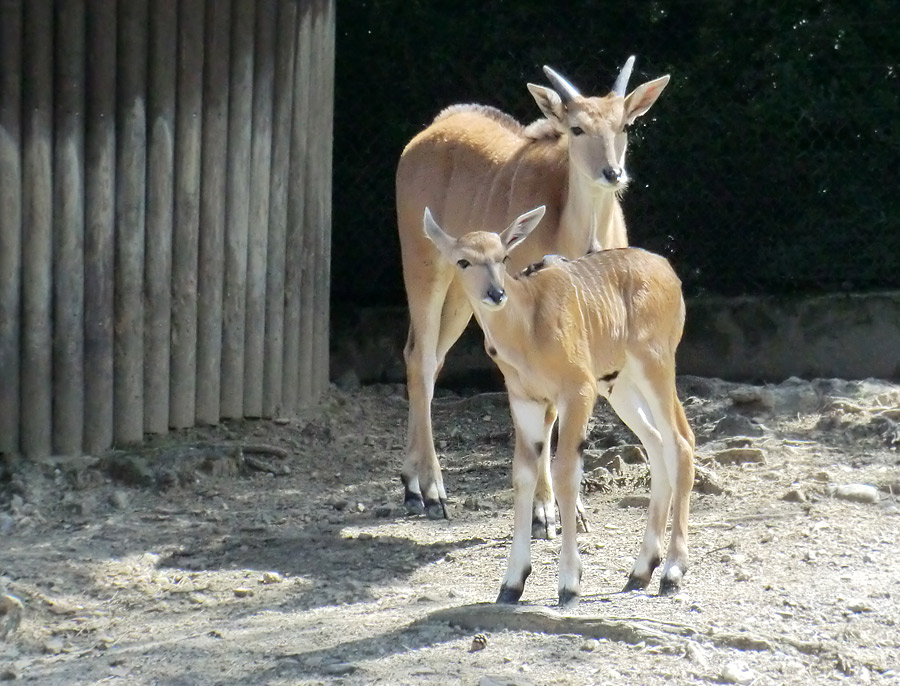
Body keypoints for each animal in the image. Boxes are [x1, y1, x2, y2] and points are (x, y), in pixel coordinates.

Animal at [400, 57, 668, 528]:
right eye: (576, 128)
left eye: (624, 126)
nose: (613, 173)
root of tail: (431, 130)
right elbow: (543, 415)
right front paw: (545, 509)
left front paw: (571, 507)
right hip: (424, 266)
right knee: (423, 359)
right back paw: (430, 489)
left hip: (464, 295)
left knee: (425, 357)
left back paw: (411, 483)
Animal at [422, 207, 696, 604]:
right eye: (463, 261)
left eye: (503, 257)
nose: (495, 293)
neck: (527, 326)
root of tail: (668, 272)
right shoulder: (525, 401)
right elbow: (522, 475)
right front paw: (512, 582)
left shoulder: (577, 391)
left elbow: (566, 472)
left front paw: (569, 582)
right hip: (620, 386)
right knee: (657, 444)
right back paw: (641, 571)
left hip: (655, 365)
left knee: (681, 442)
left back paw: (672, 572)